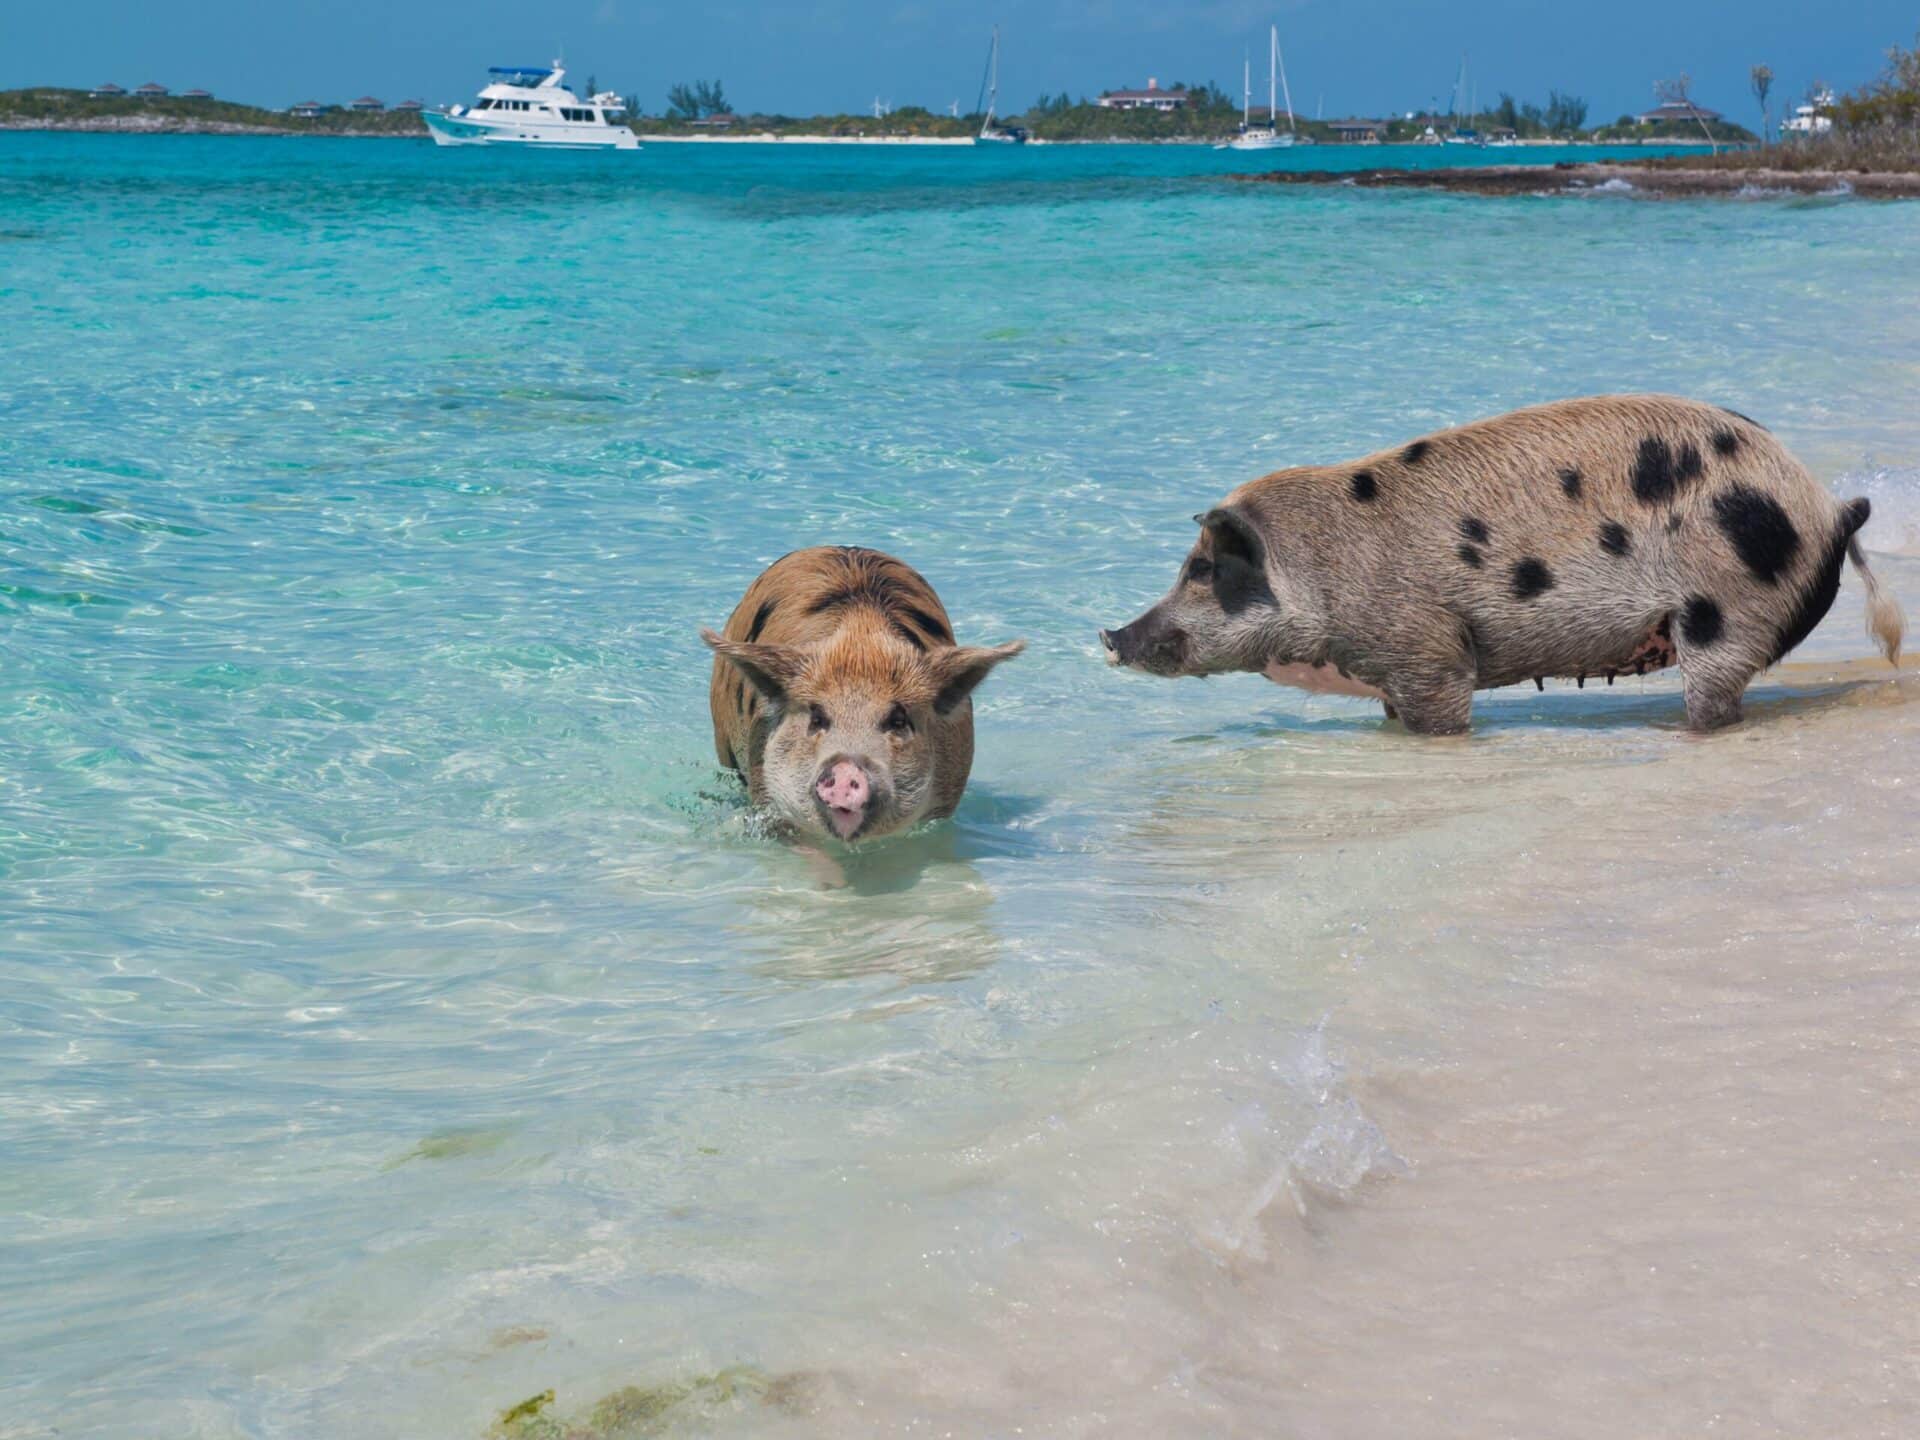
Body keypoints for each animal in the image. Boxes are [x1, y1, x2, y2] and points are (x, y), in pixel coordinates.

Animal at [1101, 395, 1904, 734]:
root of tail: (1829, 506)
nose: (1110, 635)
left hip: (1727, 605)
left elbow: (1442, 714)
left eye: (1201, 571)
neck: (1323, 566)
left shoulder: (1428, 649)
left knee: (1714, 696)